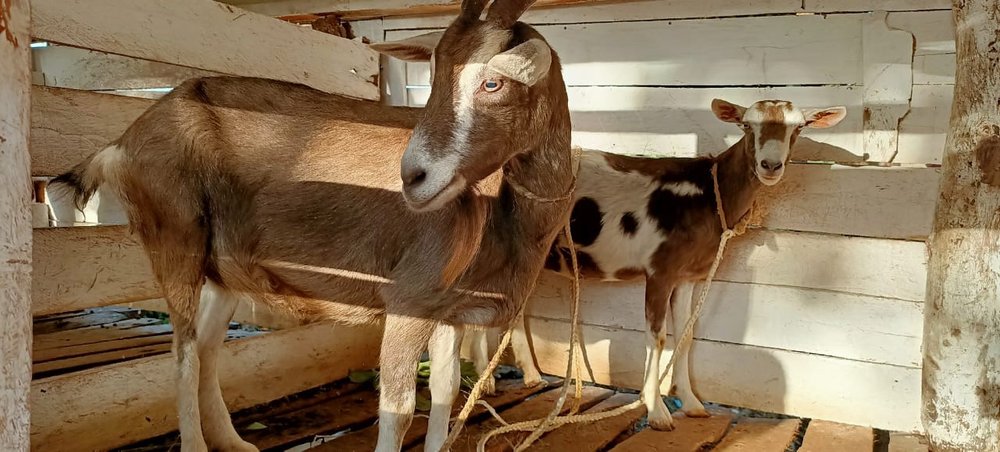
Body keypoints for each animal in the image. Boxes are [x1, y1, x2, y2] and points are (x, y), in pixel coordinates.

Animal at [50, 1, 574, 450]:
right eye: (434, 77)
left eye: (492, 83)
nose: (413, 177)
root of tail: (122, 144)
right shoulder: (409, 297)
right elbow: (399, 409)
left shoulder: (447, 307)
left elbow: (446, 391)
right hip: (174, 238)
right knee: (182, 353)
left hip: (223, 268)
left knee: (207, 346)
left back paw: (233, 441)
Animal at [470, 98, 846, 430]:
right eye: (746, 125)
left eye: (799, 127)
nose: (770, 165)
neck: (708, 193)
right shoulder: (660, 270)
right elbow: (657, 337)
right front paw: (657, 411)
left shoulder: (688, 276)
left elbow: (686, 335)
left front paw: (691, 403)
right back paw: (484, 382)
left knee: (513, 307)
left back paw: (530, 376)